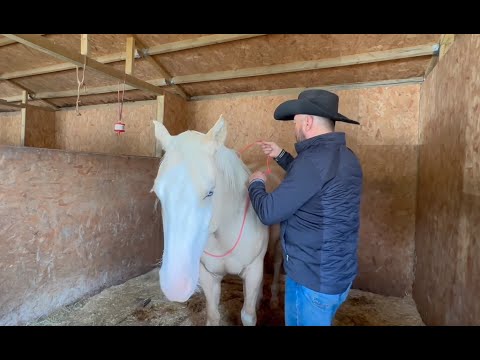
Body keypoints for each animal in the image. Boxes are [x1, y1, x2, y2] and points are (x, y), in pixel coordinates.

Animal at [152, 115, 282, 326]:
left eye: (210, 192)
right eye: (157, 192)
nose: (175, 285)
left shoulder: (253, 270)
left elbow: (248, 315)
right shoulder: (208, 275)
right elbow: (213, 316)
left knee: (277, 263)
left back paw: (274, 299)